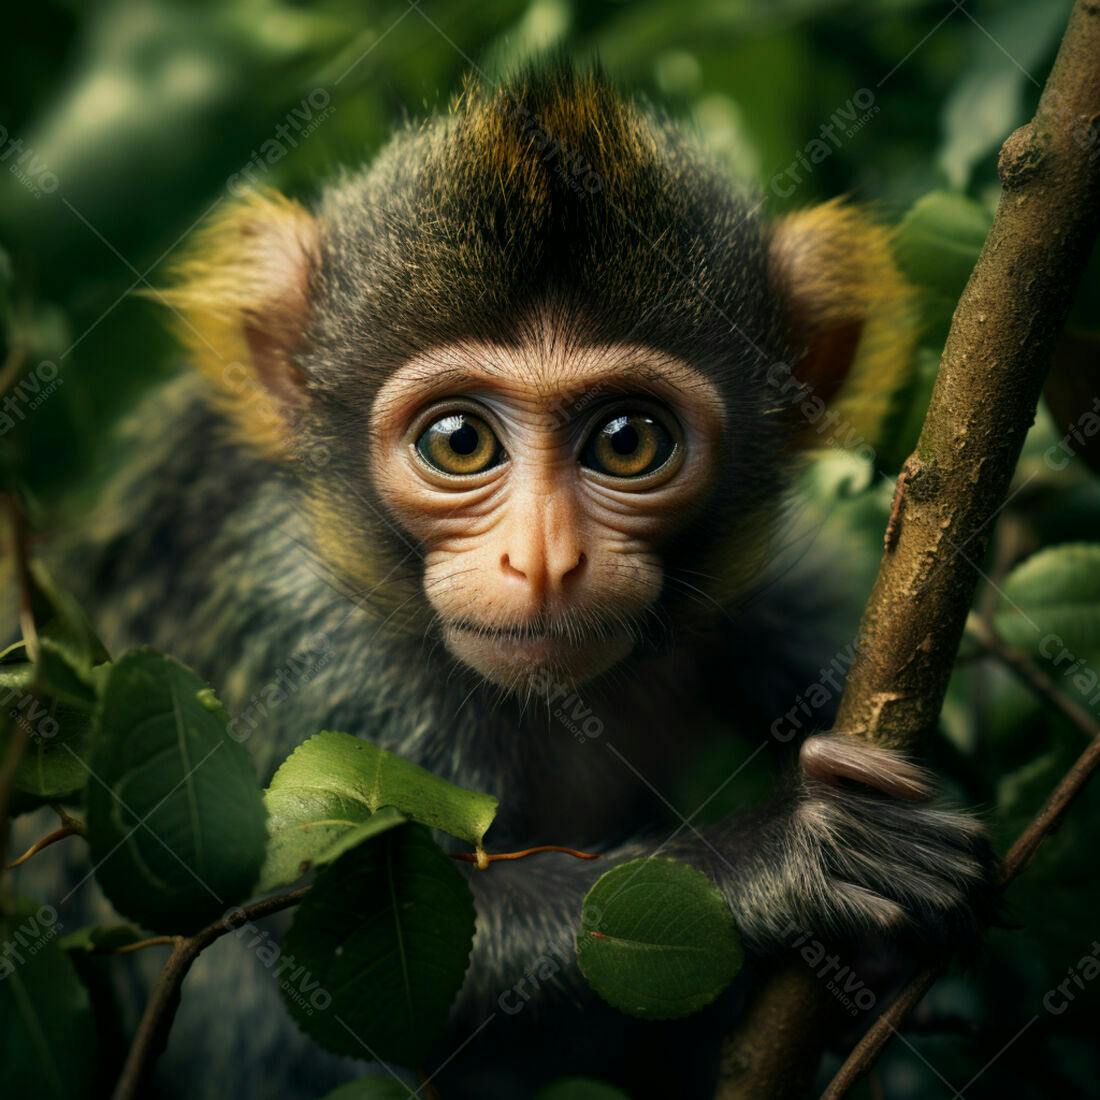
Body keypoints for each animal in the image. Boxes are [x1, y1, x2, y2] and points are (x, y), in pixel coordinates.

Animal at [8, 61, 992, 1100]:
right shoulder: (317, 640)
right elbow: (358, 961)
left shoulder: (771, 593)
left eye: (628, 440)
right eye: (458, 441)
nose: (545, 557)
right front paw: (783, 857)